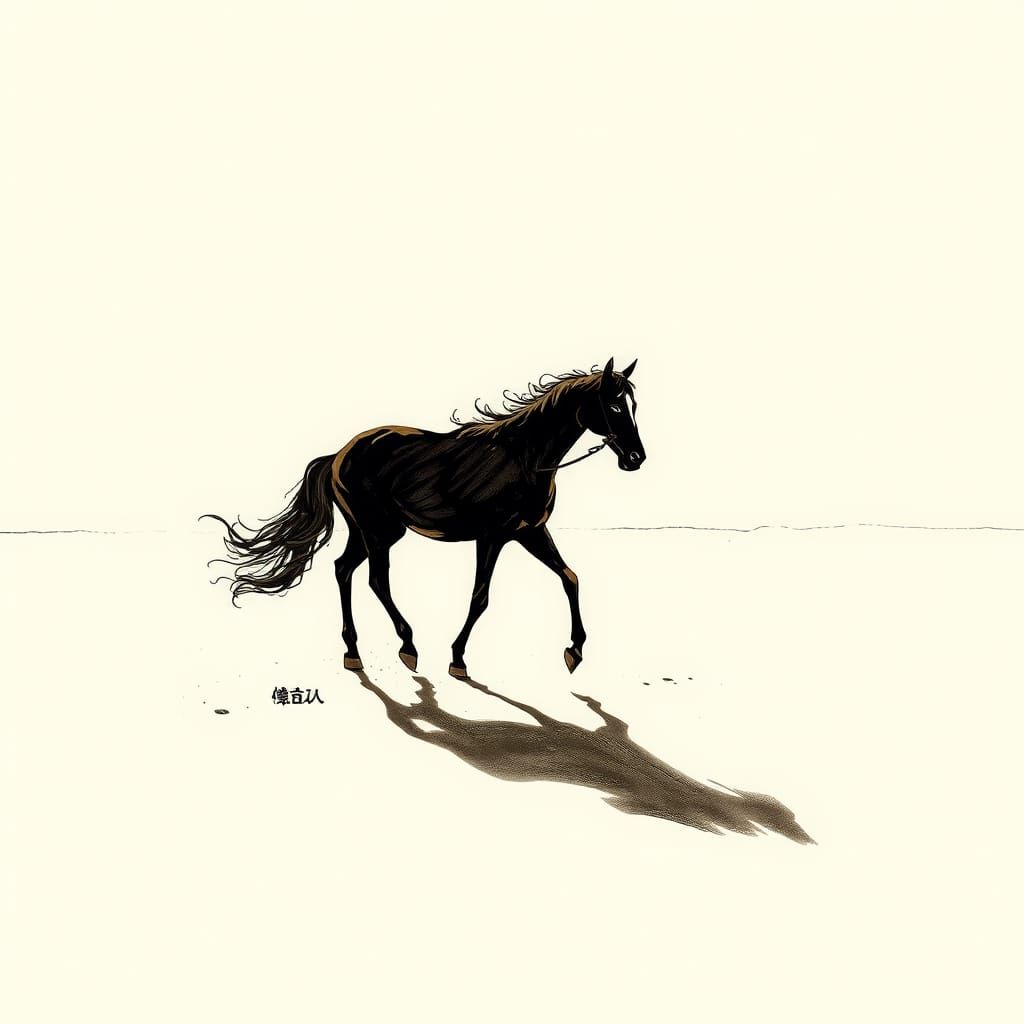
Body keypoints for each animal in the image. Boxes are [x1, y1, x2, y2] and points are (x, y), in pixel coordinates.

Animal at [203, 357, 646, 679]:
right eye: (613, 405)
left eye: (633, 405)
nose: (635, 459)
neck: (524, 458)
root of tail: (337, 455)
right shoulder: (492, 537)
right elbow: (480, 597)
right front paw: (457, 658)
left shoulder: (530, 533)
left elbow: (570, 578)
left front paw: (574, 651)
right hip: (378, 530)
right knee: (375, 580)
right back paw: (407, 647)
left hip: (371, 531)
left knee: (343, 569)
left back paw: (353, 651)